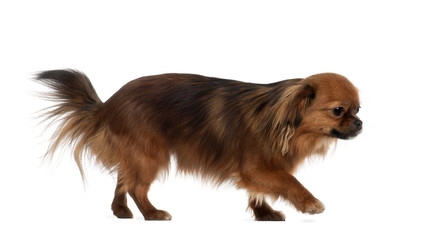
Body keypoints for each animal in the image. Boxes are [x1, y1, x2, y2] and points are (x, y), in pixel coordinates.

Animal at [35, 70, 362, 221]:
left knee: (122, 180)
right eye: (338, 111)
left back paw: (121, 211)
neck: (286, 124)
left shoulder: (258, 171)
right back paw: (152, 214)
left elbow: (258, 192)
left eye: (358, 109)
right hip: (150, 154)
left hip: (137, 156)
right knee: (136, 186)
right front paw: (310, 203)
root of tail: (108, 105)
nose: (360, 124)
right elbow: (290, 183)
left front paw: (264, 214)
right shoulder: (257, 168)